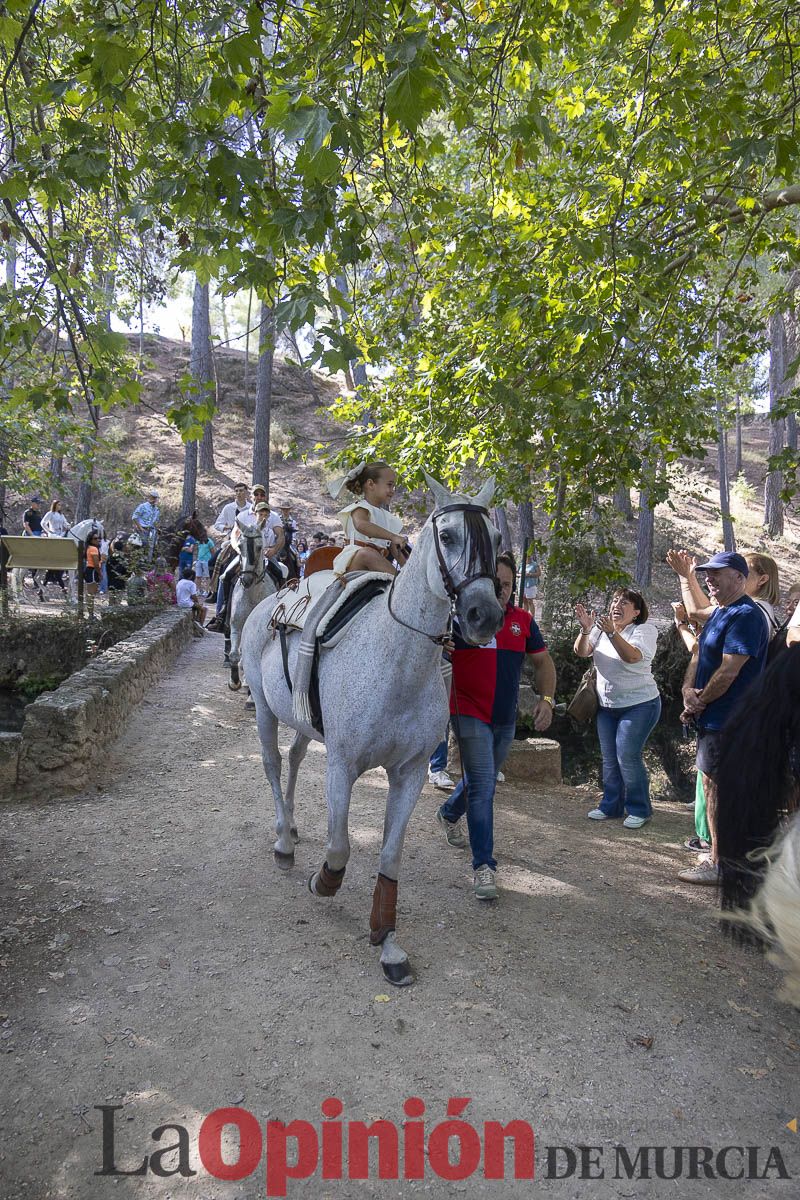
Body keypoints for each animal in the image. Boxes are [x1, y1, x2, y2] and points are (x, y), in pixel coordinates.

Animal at [227, 515, 283, 690]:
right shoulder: (236, 626)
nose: (247, 579)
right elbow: (234, 655)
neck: (252, 594)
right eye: (240, 546)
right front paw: (234, 681)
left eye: (259, 547)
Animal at [240, 475, 504, 988]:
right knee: (272, 763)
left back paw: (295, 826)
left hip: (304, 721)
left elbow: (389, 856)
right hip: (264, 709)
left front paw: (387, 941)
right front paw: (323, 882)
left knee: (295, 758)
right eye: (447, 536)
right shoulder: (343, 764)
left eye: (497, 539)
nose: (484, 616)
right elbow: (340, 847)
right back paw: (284, 840)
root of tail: (268, 603)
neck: (397, 661)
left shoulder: (410, 773)